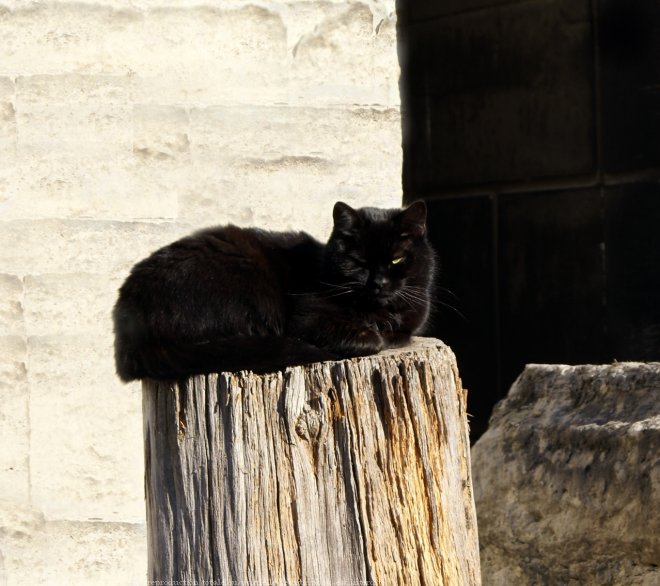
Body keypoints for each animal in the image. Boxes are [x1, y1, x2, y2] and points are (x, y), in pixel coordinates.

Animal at [112, 198, 434, 380]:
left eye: (397, 259)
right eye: (359, 261)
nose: (378, 283)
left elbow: (399, 333)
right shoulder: (307, 316)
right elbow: (372, 339)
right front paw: (371, 335)